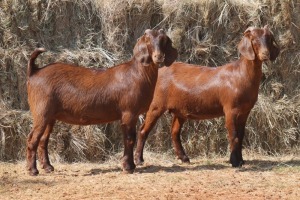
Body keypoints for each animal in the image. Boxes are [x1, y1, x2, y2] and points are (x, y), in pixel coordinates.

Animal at [27, 28, 177, 176]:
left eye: (163, 40)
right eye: (148, 40)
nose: (159, 57)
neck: (137, 74)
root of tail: (34, 72)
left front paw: (131, 165)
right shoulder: (129, 113)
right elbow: (129, 139)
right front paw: (128, 167)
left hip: (50, 116)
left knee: (43, 139)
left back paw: (48, 167)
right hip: (41, 112)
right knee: (32, 139)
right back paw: (32, 170)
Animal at [135, 25, 280, 167]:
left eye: (268, 39)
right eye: (254, 40)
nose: (265, 54)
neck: (240, 74)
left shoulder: (245, 112)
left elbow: (241, 136)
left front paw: (241, 160)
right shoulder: (230, 109)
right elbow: (234, 136)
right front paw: (234, 161)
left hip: (180, 110)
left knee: (174, 132)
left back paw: (184, 158)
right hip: (156, 105)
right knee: (143, 130)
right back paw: (139, 160)